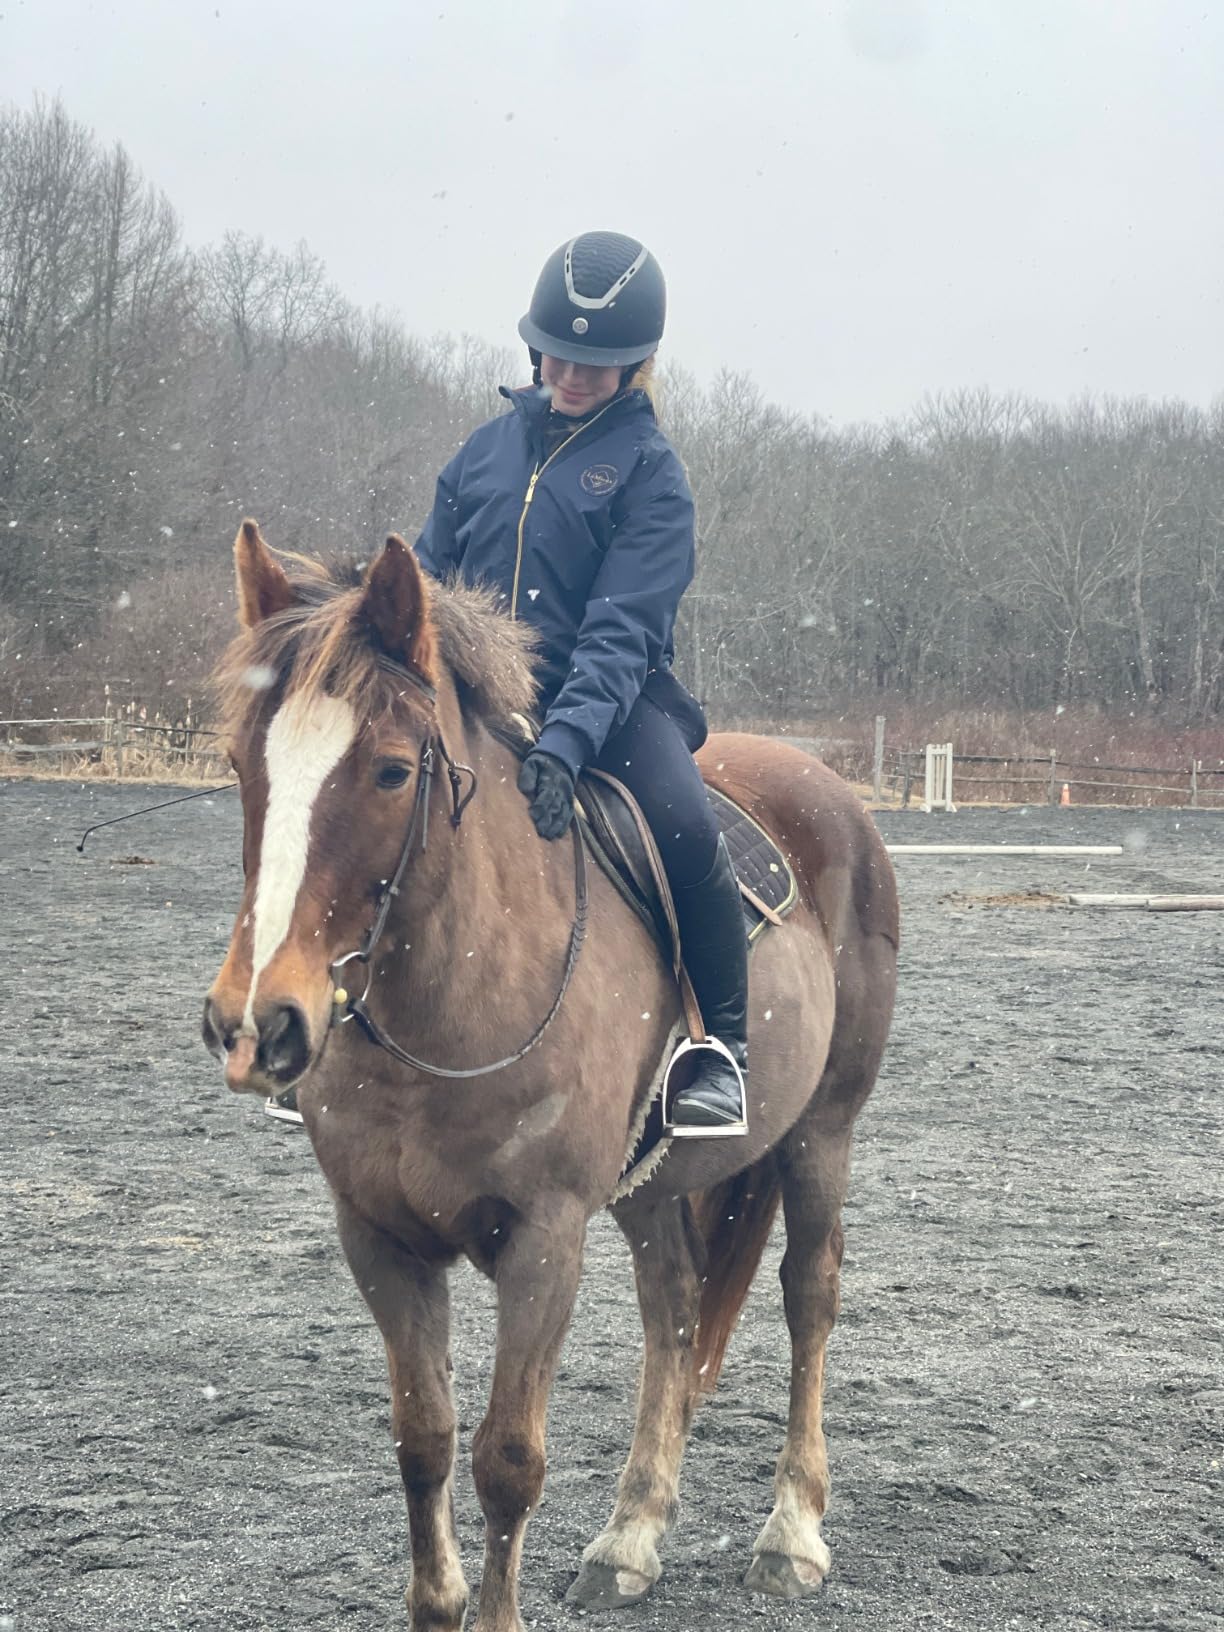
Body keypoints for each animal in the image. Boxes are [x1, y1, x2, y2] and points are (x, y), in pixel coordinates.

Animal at [202, 521, 899, 1632]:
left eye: (391, 771)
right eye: (240, 762)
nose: (256, 1021)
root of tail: (833, 796)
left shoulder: (544, 1239)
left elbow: (507, 1461)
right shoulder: (380, 1239)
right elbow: (425, 1440)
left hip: (821, 1133)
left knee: (809, 1293)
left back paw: (791, 1534)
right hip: (652, 1185)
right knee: (673, 1305)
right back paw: (632, 1537)